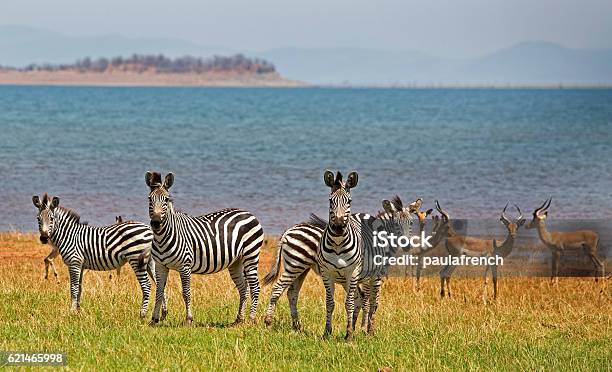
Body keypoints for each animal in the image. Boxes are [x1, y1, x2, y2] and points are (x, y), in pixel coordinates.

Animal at [148, 171, 266, 326]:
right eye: (149, 199)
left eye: (166, 200)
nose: (156, 223)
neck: (163, 238)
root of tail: (249, 213)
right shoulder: (160, 266)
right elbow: (159, 292)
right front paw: (154, 320)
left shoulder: (185, 266)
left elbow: (186, 293)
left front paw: (188, 319)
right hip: (236, 262)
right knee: (243, 289)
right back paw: (238, 320)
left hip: (251, 255)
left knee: (255, 287)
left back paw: (251, 318)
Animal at [316, 171, 412, 340]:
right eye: (330, 201)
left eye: (349, 201)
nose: (339, 227)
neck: (338, 244)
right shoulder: (327, 273)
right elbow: (330, 303)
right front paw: (327, 333)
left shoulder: (352, 272)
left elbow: (349, 304)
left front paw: (349, 335)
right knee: (362, 299)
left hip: (374, 275)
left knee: (373, 301)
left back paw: (369, 331)